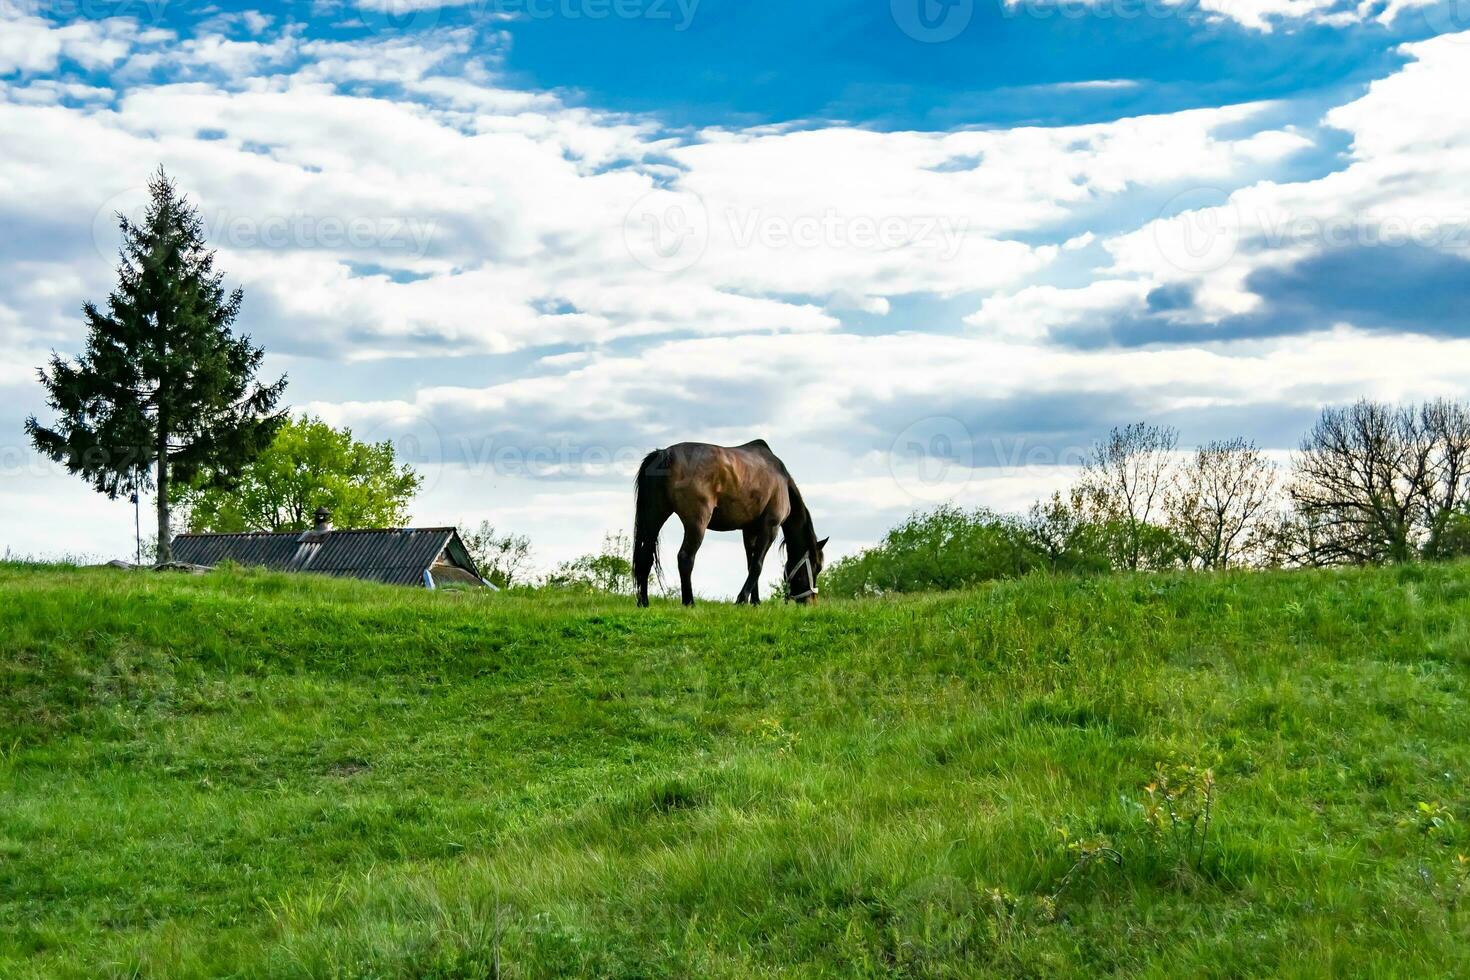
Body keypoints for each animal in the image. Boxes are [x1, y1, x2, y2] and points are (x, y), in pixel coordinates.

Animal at [632, 443, 829, 605]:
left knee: (646, 556)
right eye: (817, 566)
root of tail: (665, 454)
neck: (782, 479)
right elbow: (757, 565)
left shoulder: (749, 531)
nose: (810, 601)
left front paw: (755, 602)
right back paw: (689, 602)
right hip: (697, 523)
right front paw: (741, 600)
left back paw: (644, 602)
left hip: (654, 519)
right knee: (685, 557)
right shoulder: (770, 527)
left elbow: (751, 564)